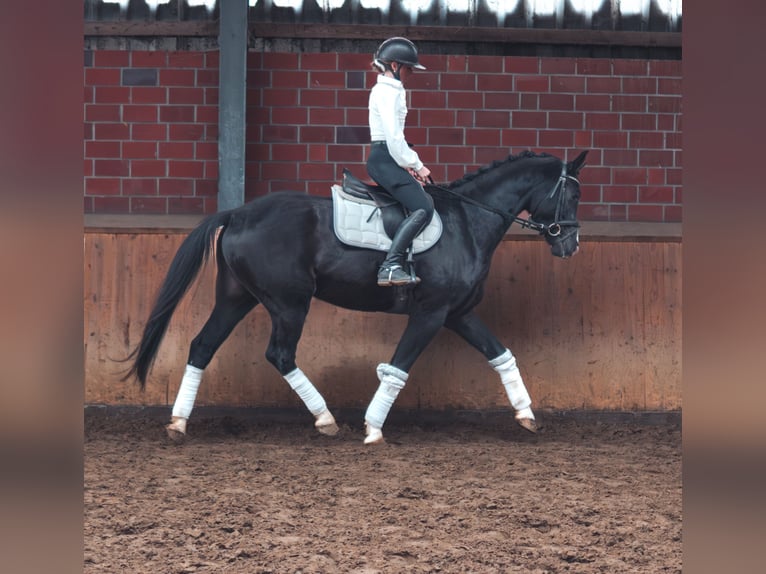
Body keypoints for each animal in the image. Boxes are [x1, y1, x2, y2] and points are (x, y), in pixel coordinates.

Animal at [129, 150, 592, 446]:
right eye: (572, 194)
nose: (569, 245)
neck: (467, 220)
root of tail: (238, 213)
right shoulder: (431, 313)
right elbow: (399, 368)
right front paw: (373, 429)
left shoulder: (458, 312)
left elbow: (501, 355)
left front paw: (526, 415)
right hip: (288, 302)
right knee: (279, 354)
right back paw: (326, 419)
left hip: (236, 297)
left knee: (202, 346)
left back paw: (179, 424)